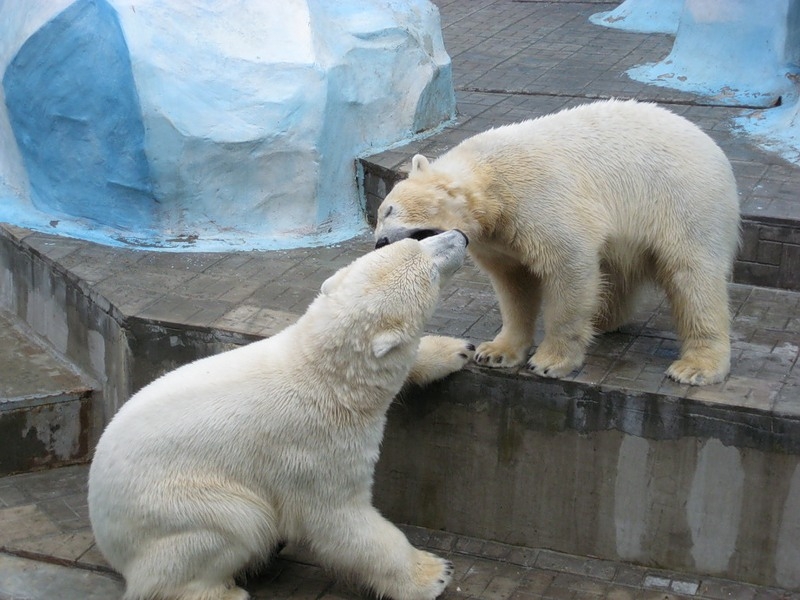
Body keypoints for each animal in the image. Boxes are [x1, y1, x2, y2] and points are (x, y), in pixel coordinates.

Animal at [87, 230, 476, 600]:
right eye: (430, 271)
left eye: (416, 241)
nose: (461, 235)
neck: (325, 376)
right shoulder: (313, 450)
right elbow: (339, 520)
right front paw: (433, 574)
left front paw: (455, 349)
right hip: (180, 507)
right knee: (237, 524)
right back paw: (227, 590)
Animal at [378, 98, 740, 384]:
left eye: (388, 210)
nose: (380, 241)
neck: (490, 182)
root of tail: (713, 147)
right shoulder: (501, 238)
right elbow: (514, 285)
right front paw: (495, 352)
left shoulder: (538, 198)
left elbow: (568, 267)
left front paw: (551, 361)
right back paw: (603, 317)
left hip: (682, 200)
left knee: (692, 277)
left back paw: (696, 366)